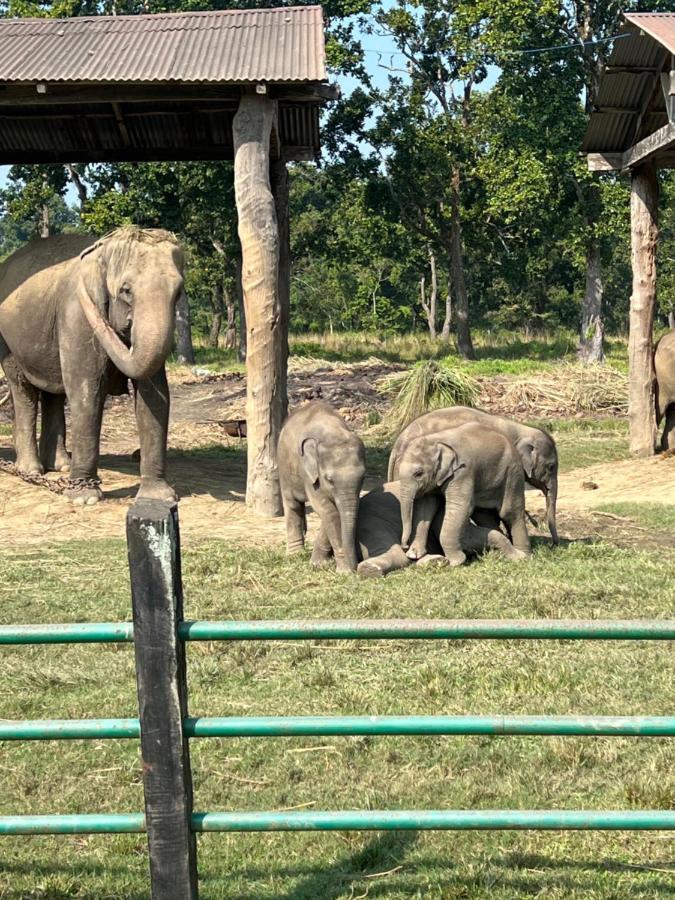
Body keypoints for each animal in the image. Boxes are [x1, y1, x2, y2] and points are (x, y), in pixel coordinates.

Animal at [0, 229, 184, 502]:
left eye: (179, 292)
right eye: (126, 290)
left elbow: (155, 396)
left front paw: (158, 496)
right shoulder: (76, 315)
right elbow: (86, 392)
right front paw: (85, 497)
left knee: (54, 392)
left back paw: (61, 466)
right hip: (9, 340)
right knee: (24, 389)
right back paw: (31, 470)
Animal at [278, 402, 368, 572]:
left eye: (363, 477)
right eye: (329, 480)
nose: (357, 567)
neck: (333, 432)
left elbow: (331, 513)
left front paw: (318, 563)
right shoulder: (309, 474)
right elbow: (329, 511)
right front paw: (344, 572)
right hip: (284, 469)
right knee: (292, 504)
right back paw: (295, 554)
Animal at [396, 426, 532, 568]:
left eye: (418, 473)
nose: (404, 546)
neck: (434, 440)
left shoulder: (462, 472)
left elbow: (460, 508)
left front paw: (455, 562)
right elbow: (425, 507)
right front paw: (414, 554)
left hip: (513, 473)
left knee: (510, 512)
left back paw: (523, 556)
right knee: (483, 515)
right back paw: (498, 554)